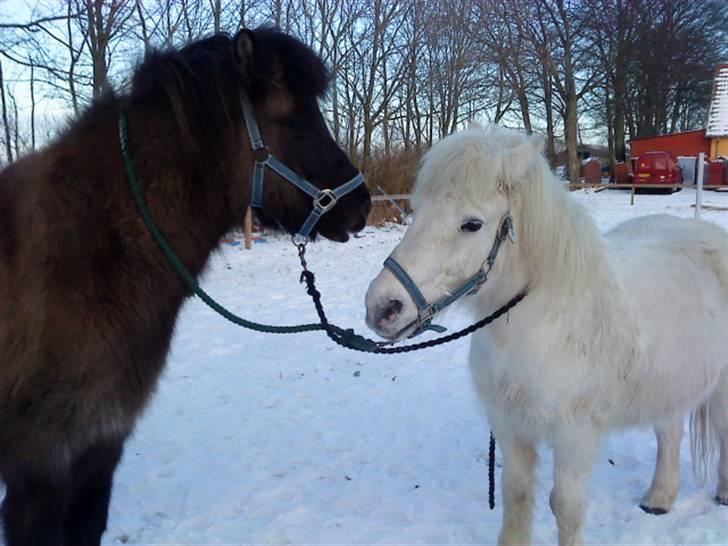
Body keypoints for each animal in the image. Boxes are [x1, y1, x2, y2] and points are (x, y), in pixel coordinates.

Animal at [366, 125, 724, 540]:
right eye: (417, 211)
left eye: (472, 224)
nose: (381, 308)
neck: (542, 320)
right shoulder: (509, 426)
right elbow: (517, 495)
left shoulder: (575, 436)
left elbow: (565, 507)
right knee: (669, 432)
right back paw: (659, 499)